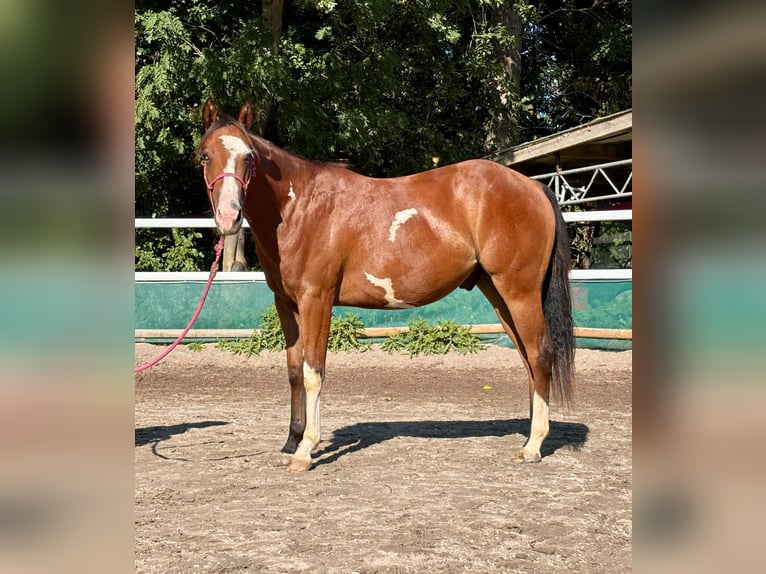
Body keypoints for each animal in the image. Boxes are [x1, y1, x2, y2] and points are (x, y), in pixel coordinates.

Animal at [199, 99, 575, 472]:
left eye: (249, 156)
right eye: (205, 155)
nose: (229, 216)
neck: (300, 207)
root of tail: (534, 186)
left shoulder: (315, 300)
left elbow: (313, 371)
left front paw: (306, 450)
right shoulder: (286, 303)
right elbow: (294, 371)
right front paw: (291, 442)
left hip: (520, 293)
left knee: (540, 355)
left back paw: (534, 445)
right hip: (498, 294)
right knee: (528, 360)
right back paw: (529, 435)